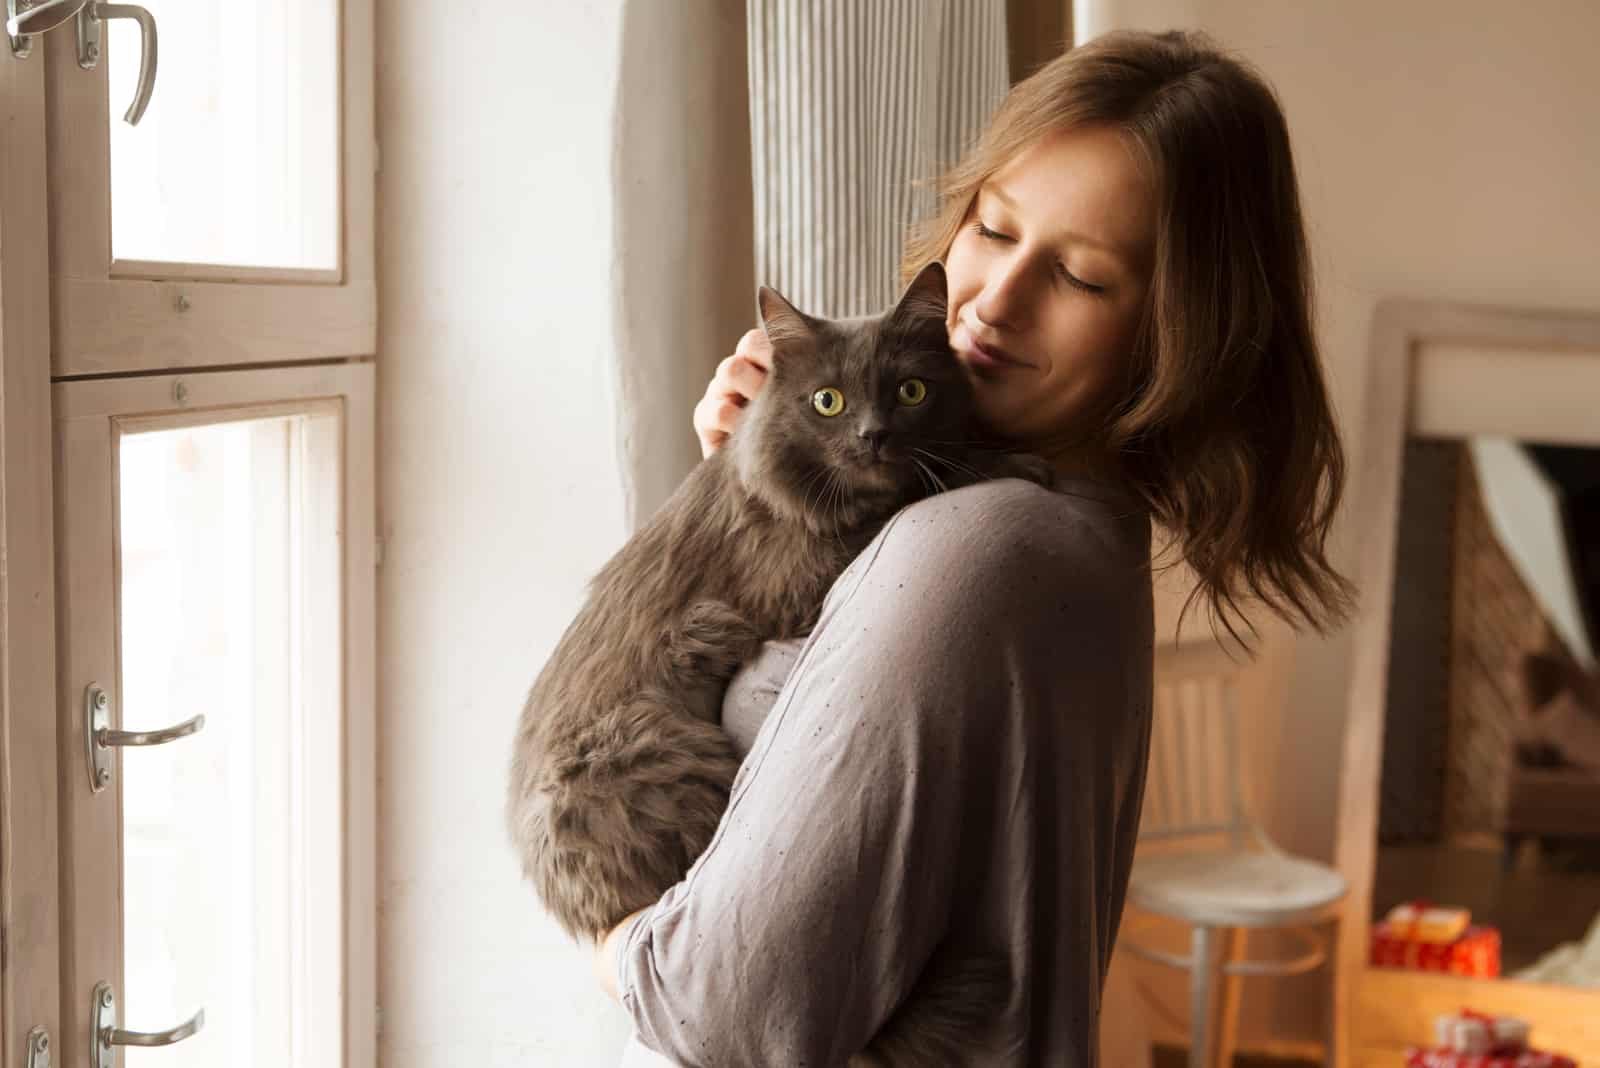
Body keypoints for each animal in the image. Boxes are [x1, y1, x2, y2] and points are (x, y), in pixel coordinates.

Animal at [502, 262, 1049, 1061]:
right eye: (829, 401)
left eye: (911, 391)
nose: (874, 436)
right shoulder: (795, 571)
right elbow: (915, 493)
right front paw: (1020, 460)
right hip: (664, 757)